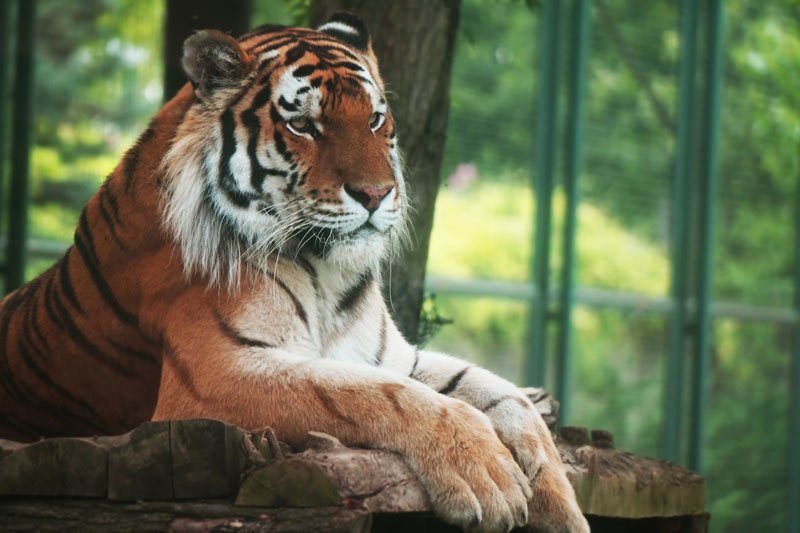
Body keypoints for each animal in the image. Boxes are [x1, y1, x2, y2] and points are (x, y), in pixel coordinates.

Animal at [0, 13, 588, 532]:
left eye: (374, 120)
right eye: (304, 124)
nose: (377, 194)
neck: (329, 273)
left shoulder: (392, 355)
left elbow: (497, 392)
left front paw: (559, 501)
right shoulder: (215, 377)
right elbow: (372, 394)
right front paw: (487, 475)